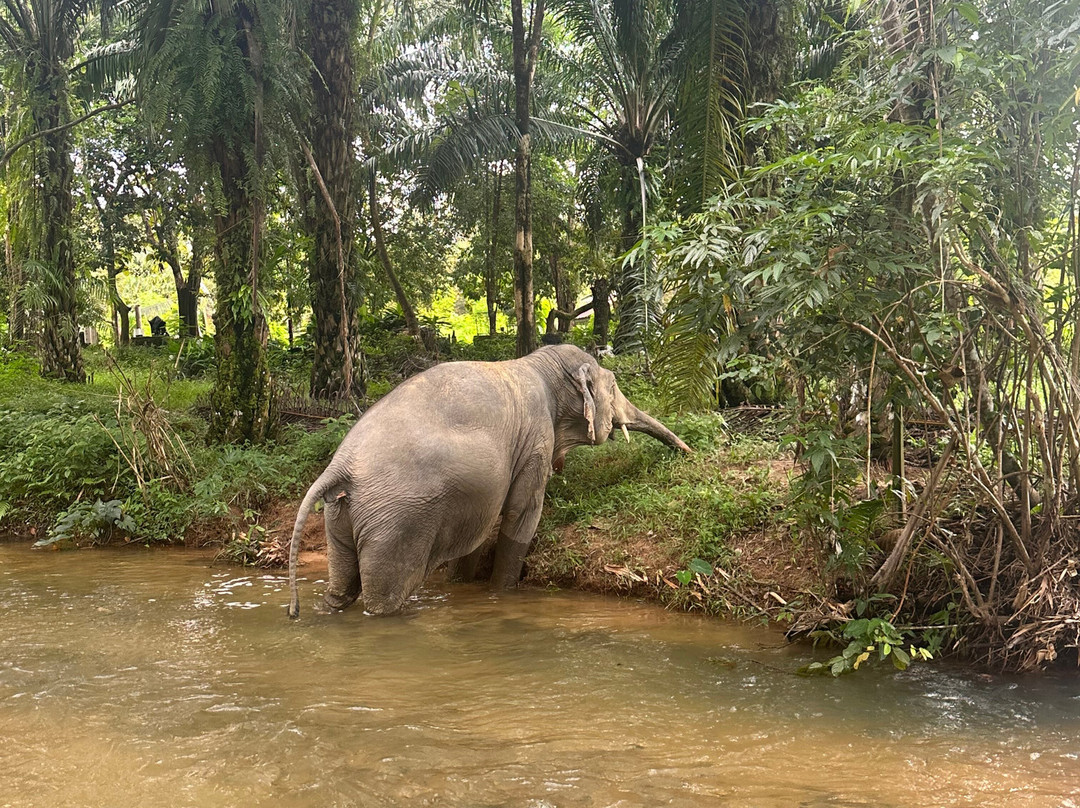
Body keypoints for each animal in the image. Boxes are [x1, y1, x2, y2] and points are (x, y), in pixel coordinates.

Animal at [287, 344, 690, 618]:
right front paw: (503, 595)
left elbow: (476, 535)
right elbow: (521, 514)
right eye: (616, 385)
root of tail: (340, 466)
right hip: (396, 523)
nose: (687, 452)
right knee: (384, 597)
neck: (540, 363)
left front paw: (463, 588)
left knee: (340, 587)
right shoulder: (536, 440)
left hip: (340, 515)